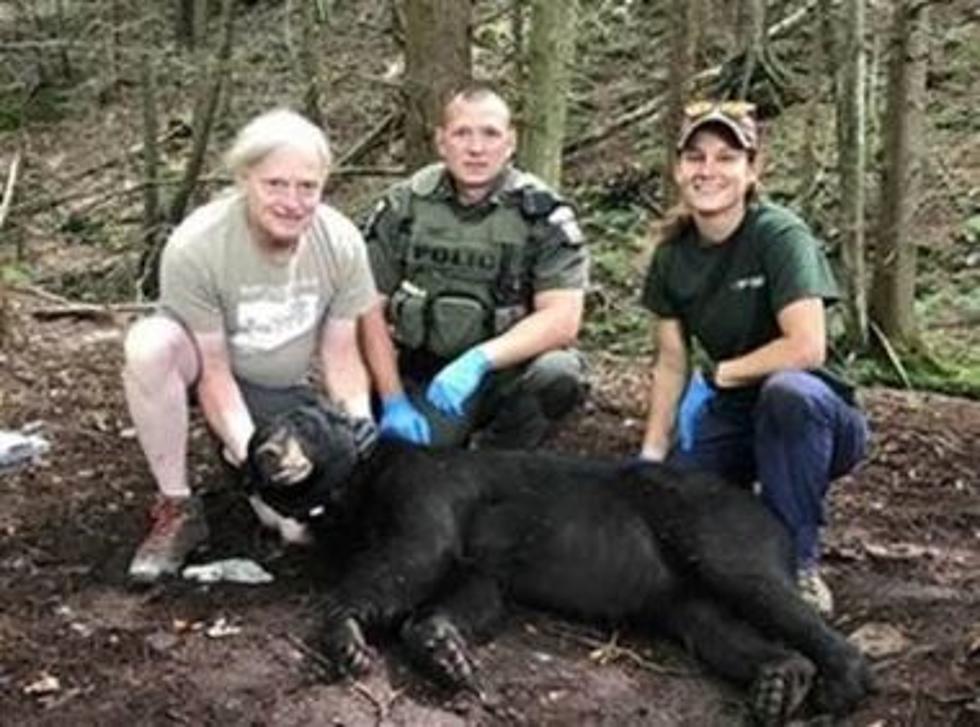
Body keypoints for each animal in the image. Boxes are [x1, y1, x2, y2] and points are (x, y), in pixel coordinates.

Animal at [249, 406, 868, 724]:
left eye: (304, 423)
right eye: (259, 433)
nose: (269, 454)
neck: (356, 493)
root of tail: (768, 511)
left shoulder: (425, 487)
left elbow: (415, 553)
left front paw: (348, 634)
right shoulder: (482, 563)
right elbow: (475, 592)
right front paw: (447, 652)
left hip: (711, 523)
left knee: (753, 582)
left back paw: (845, 679)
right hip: (680, 595)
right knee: (715, 627)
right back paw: (781, 679)